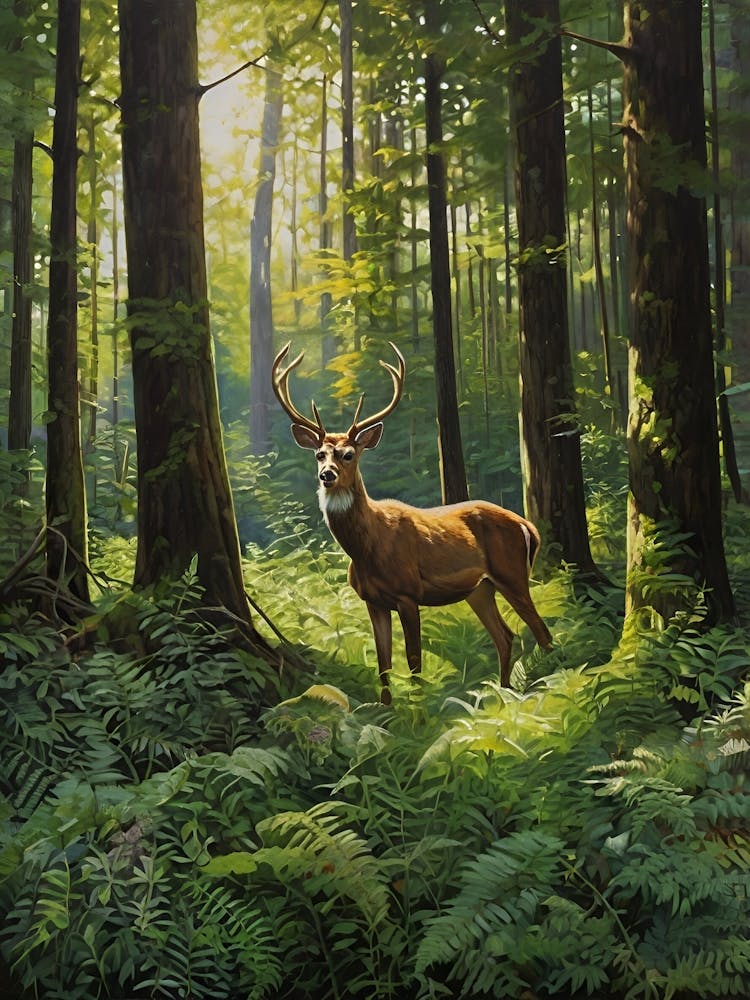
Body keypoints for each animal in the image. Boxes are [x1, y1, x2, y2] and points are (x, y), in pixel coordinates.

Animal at [271, 341, 553, 704]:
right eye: (319, 454)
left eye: (349, 454)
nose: (327, 475)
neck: (367, 548)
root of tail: (528, 527)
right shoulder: (373, 601)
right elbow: (383, 663)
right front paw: (387, 711)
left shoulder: (408, 594)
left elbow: (414, 662)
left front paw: (418, 710)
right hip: (480, 589)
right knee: (505, 636)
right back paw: (503, 696)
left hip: (512, 574)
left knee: (541, 632)